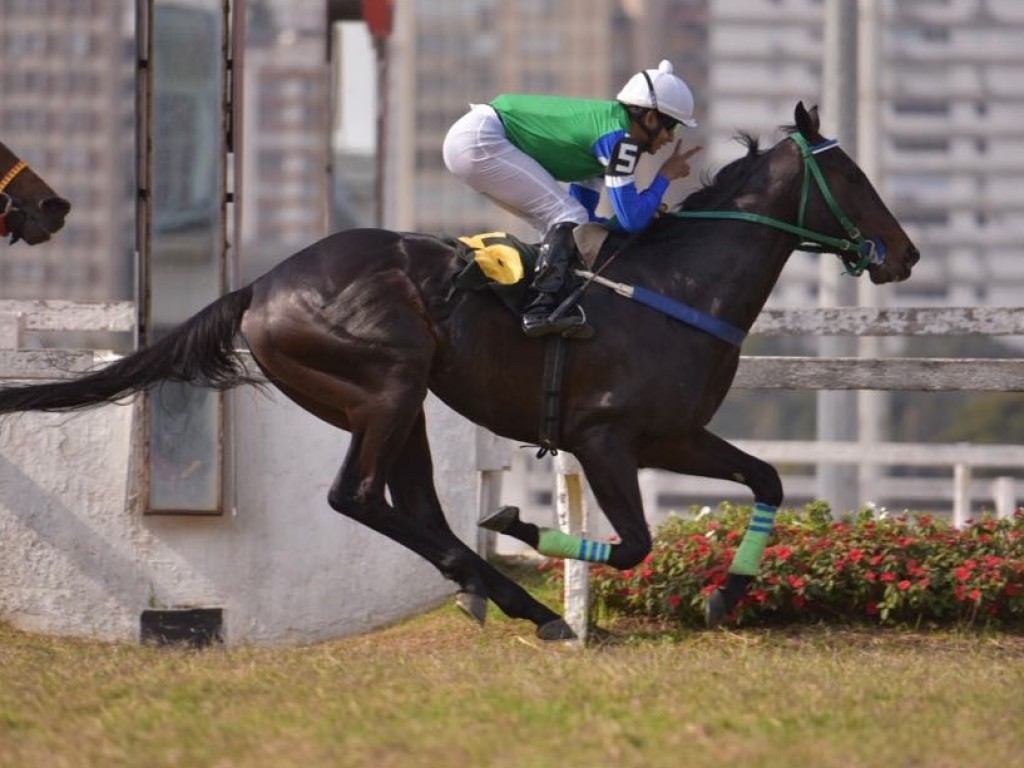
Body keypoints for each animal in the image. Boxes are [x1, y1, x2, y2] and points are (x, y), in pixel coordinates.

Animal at [0, 105, 921, 638]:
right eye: (849, 173)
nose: (904, 253)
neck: (677, 289)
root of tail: (260, 284)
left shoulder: (675, 435)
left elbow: (766, 479)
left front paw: (727, 596)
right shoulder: (604, 436)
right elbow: (633, 545)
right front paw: (525, 528)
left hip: (398, 402)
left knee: (412, 508)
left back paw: (520, 602)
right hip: (389, 380)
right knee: (358, 497)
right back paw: (527, 596)